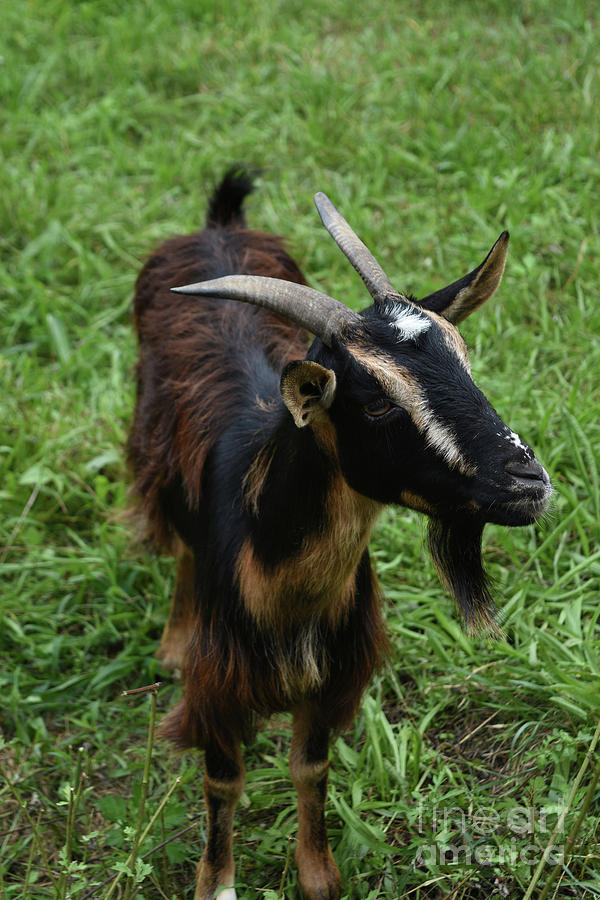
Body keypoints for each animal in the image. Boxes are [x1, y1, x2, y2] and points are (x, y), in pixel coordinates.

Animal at [129, 171, 552, 900]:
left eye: (464, 360)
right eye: (377, 400)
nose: (530, 481)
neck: (286, 589)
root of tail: (218, 223)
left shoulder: (332, 676)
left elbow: (310, 768)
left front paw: (319, 877)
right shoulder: (220, 686)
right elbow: (224, 780)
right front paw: (216, 883)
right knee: (180, 543)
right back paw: (173, 640)